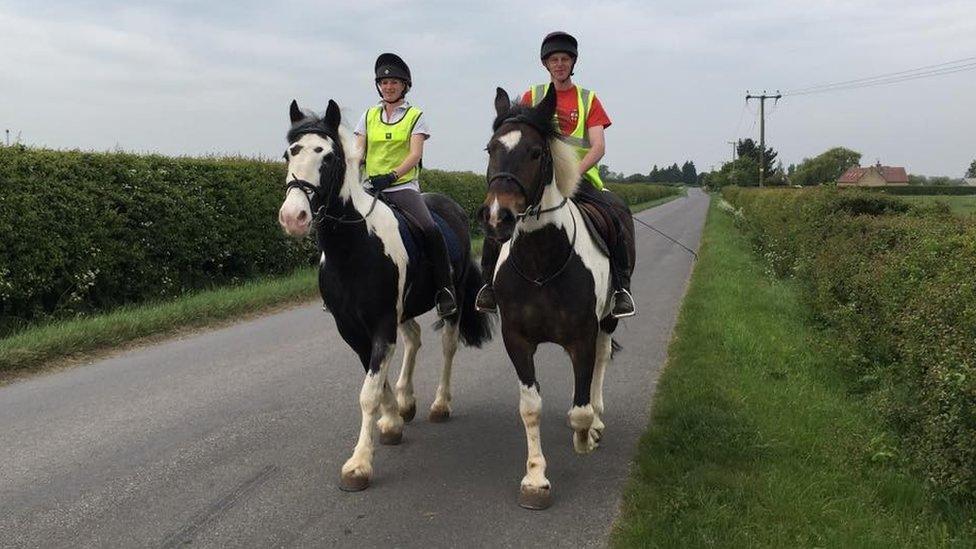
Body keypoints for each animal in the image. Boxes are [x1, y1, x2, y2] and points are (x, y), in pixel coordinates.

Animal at [280, 99, 496, 492]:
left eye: (328, 157)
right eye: (290, 152)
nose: (294, 217)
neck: (353, 247)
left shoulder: (381, 322)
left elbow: (368, 391)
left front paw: (358, 465)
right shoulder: (352, 328)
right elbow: (376, 383)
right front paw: (393, 420)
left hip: (452, 300)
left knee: (448, 347)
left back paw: (440, 405)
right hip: (404, 311)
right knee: (414, 338)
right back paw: (408, 401)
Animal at [478, 85, 632, 510]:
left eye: (536, 152)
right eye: (491, 148)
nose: (498, 218)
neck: (541, 261)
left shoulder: (582, 336)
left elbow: (580, 408)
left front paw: (586, 436)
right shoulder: (518, 340)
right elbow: (530, 409)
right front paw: (535, 480)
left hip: (607, 321)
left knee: (599, 366)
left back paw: (597, 423)